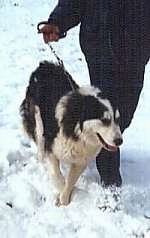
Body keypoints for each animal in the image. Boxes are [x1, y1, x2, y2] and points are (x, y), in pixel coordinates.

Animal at [19, 60, 122, 205]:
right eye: (104, 120)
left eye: (117, 119)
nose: (119, 141)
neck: (77, 131)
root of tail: (45, 64)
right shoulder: (52, 148)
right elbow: (57, 174)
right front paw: (61, 196)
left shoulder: (82, 158)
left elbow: (71, 180)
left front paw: (65, 198)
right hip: (36, 113)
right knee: (39, 134)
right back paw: (40, 155)